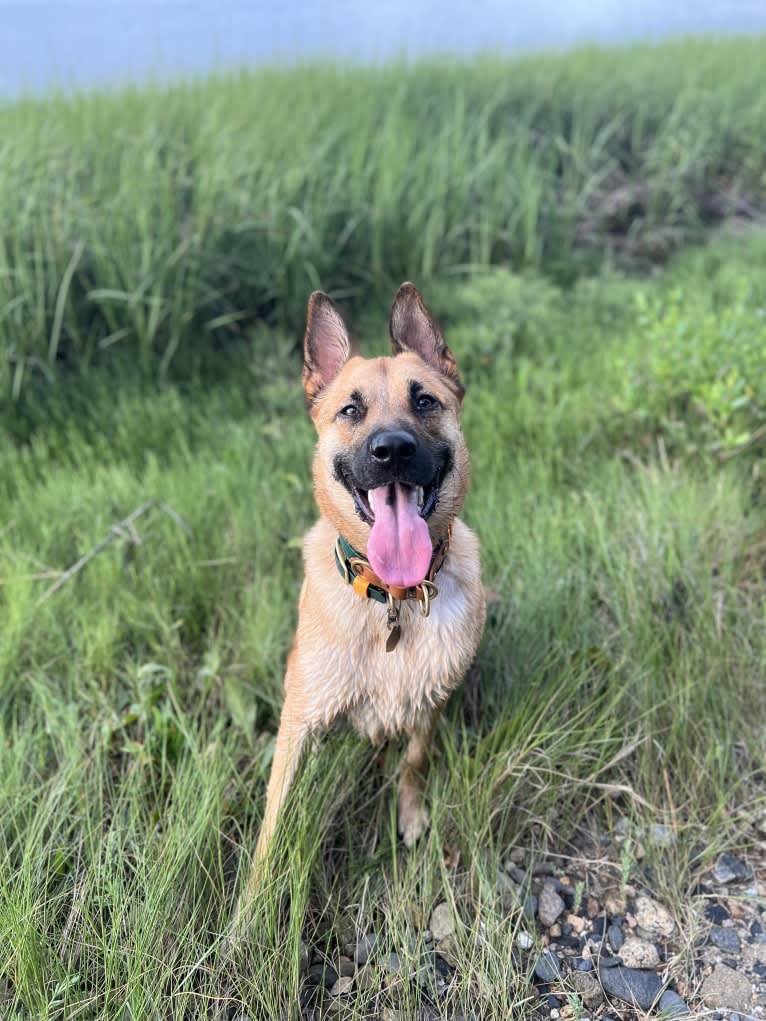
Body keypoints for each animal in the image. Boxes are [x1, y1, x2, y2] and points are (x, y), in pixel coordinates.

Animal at [232, 283, 486, 922]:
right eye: (351, 410)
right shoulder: (300, 725)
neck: (389, 601)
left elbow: (414, 762)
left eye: (424, 401)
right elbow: (273, 821)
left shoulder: (429, 705)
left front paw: (411, 814)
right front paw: (251, 909)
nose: (392, 450)